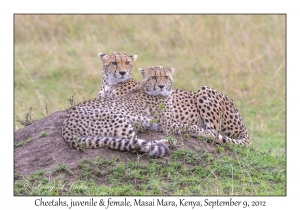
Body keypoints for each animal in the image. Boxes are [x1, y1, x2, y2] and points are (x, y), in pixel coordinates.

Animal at [96, 52, 248, 146]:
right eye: (114, 62)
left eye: (127, 62)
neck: (110, 85)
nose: (123, 72)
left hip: (204, 90)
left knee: (215, 133)